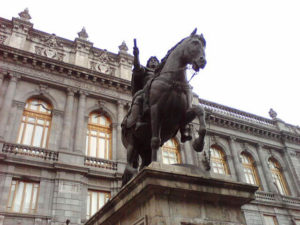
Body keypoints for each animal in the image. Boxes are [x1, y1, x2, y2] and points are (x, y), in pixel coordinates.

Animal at [122, 29, 206, 185]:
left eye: (204, 45)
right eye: (194, 43)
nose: (203, 61)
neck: (174, 81)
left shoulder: (182, 115)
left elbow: (200, 111)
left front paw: (198, 144)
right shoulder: (156, 110)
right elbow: (156, 140)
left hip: (144, 148)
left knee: (143, 163)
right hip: (132, 141)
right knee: (130, 162)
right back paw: (132, 174)